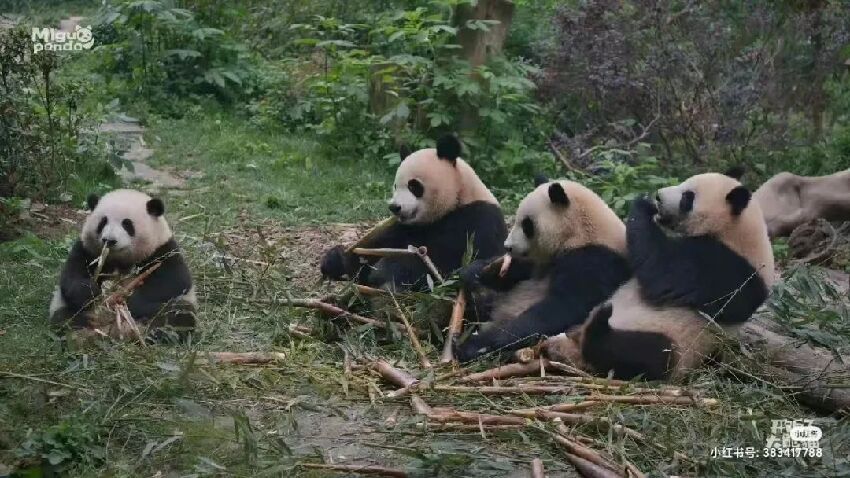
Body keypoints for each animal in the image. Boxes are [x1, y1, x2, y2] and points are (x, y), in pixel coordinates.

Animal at [51, 189, 199, 334]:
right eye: (103, 222)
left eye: (127, 224)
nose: (109, 240)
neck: (121, 259)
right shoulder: (88, 249)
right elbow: (71, 275)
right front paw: (89, 292)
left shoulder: (162, 249)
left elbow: (173, 281)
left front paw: (130, 301)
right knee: (63, 317)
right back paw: (83, 324)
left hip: (174, 307)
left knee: (179, 316)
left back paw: (157, 332)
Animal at [316, 135, 504, 292]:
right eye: (395, 186)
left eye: (414, 185)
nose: (394, 207)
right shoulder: (404, 228)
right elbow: (373, 250)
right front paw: (336, 260)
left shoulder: (478, 218)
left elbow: (447, 263)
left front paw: (386, 272)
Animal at [454, 177, 632, 360]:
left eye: (527, 225)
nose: (508, 246)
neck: (579, 231)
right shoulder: (541, 259)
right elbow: (517, 271)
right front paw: (474, 271)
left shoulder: (595, 259)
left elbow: (564, 307)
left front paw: (475, 345)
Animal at [572, 173, 772, 380]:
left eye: (687, 197)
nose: (658, 196)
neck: (738, 231)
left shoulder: (728, 269)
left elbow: (662, 272)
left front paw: (643, 204)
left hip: (677, 345)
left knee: (644, 352)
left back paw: (599, 326)